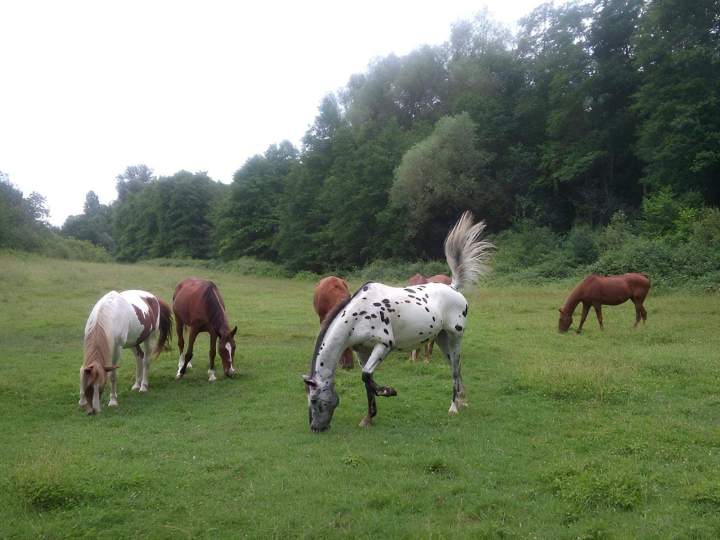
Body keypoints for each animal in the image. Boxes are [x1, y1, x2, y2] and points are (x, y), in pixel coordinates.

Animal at [303, 211, 494, 432]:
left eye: (315, 400)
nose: (316, 427)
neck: (357, 316)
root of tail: (453, 287)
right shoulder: (362, 352)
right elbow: (367, 381)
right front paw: (368, 418)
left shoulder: (384, 345)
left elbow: (366, 376)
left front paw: (389, 391)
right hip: (442, 340)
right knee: (457, 368)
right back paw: (462, 402)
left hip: (455, 338)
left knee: (455, 370)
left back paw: (454, 407)